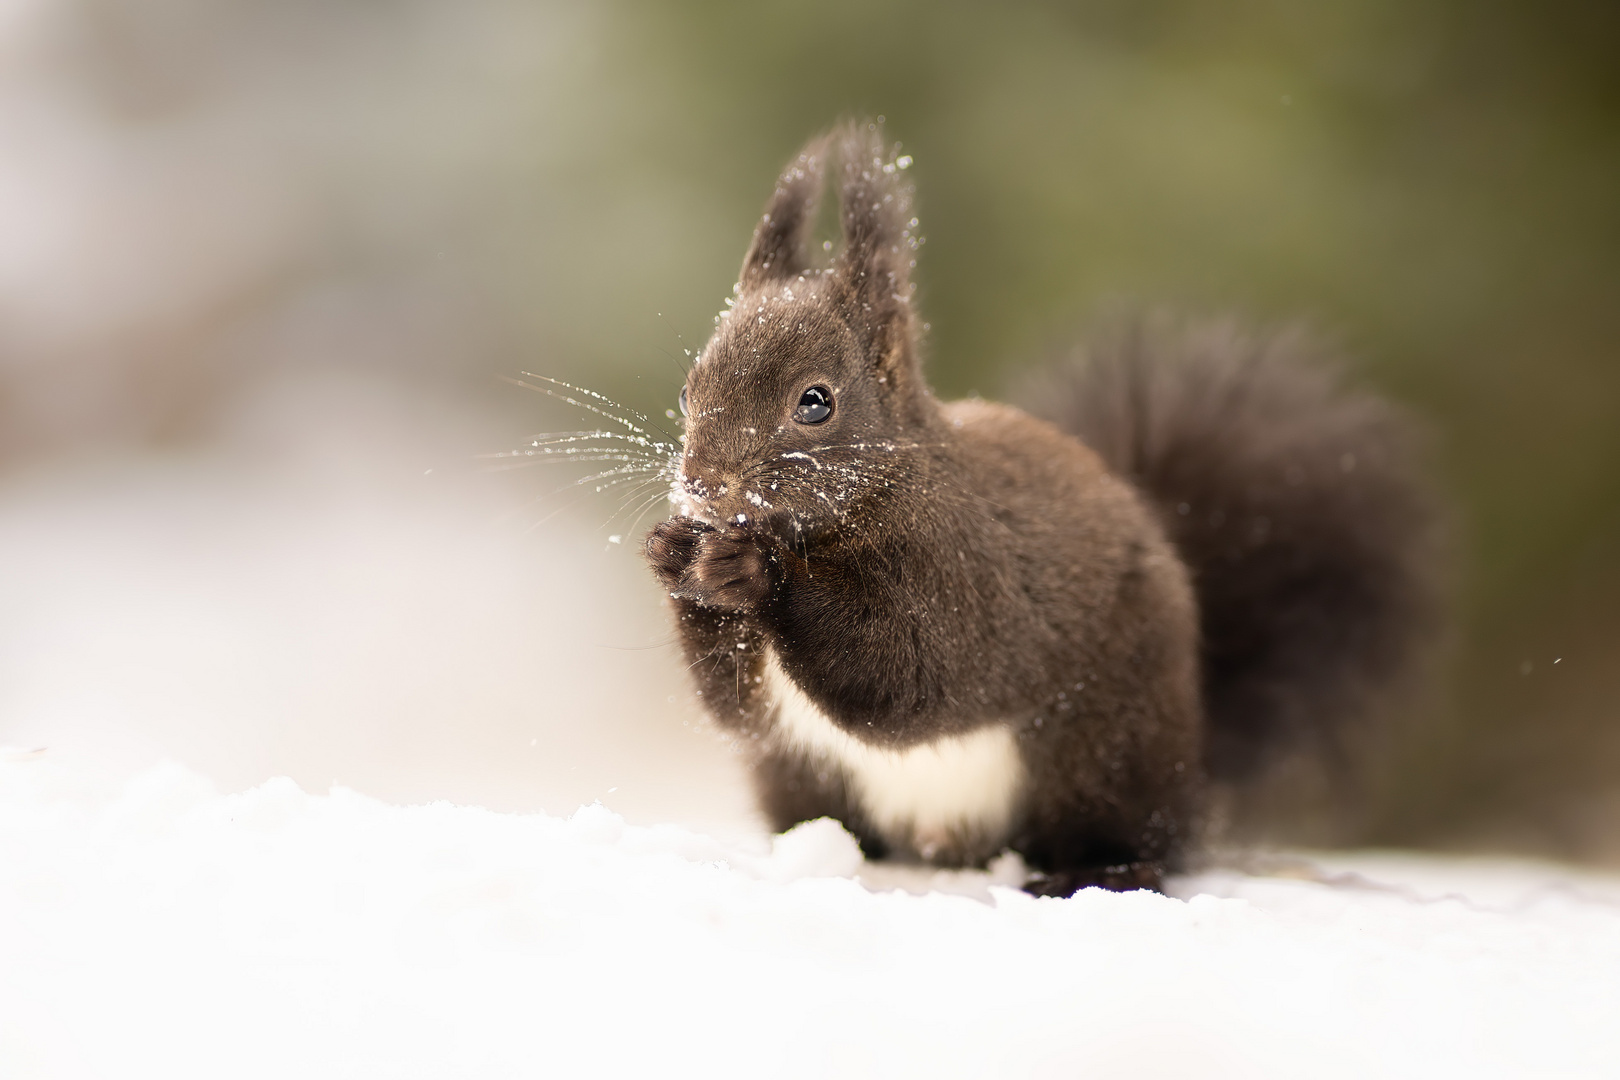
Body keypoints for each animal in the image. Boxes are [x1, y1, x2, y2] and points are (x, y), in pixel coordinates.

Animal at [638, 120, 1438, 893]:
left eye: (815, 402)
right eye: (686, 388)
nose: (702, 483)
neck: (868, 502)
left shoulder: (964, 575)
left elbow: (906, 674)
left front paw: (756, 573)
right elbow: (739, 705)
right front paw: (676, 554)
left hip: (1105, 747)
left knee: (1140, 839)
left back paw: (1098, 869)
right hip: (798, 774)